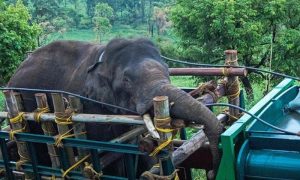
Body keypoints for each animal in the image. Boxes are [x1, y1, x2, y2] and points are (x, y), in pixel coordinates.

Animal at [7, 37, 224, 179]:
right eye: (127, 81)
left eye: (167, 71)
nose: (212, 172)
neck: (102, 58)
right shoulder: (91, 107)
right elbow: (110, 160)